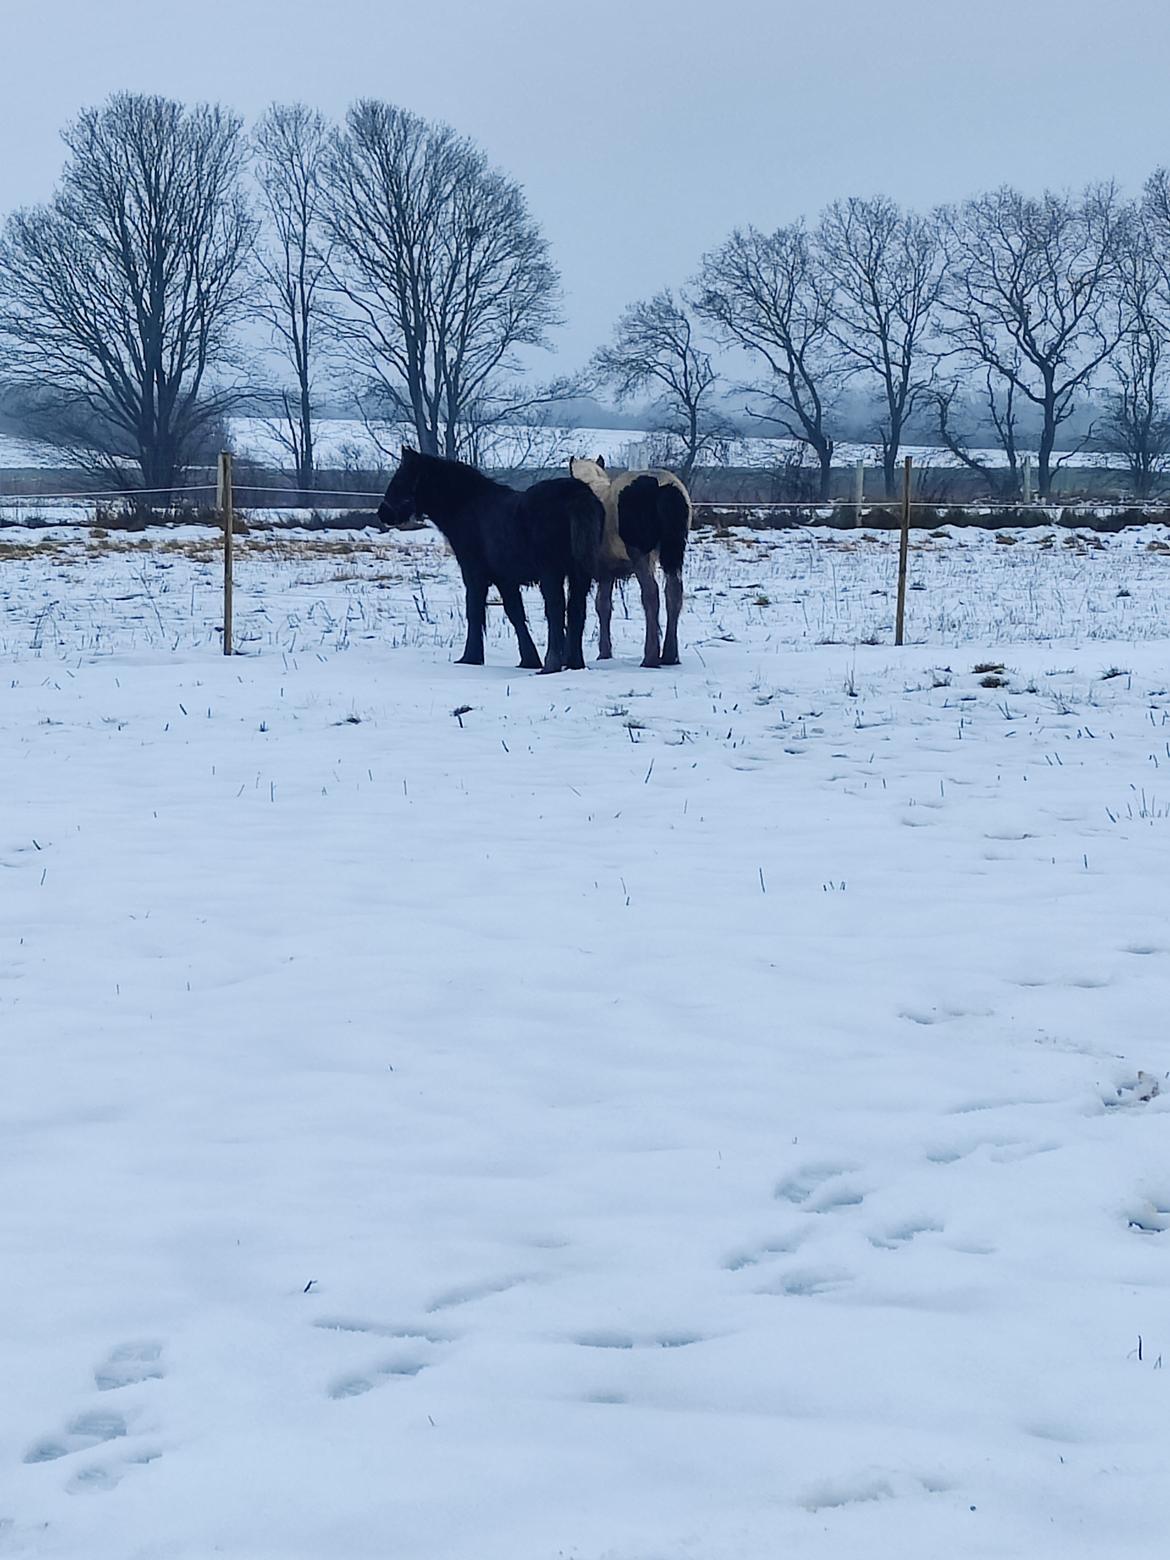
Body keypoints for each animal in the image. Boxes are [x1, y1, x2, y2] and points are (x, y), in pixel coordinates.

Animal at [380, 449, 605, 673]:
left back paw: (551, 665)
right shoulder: (506, 579)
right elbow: (515, 613)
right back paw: (575, 663)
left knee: (556, 610)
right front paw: (528, 659)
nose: (383, 513)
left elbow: (475, 611)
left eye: (401, 478)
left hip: (552, 573)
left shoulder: (475, 574)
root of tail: (577, 494)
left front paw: (470, 657)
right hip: (579, 574)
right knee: (576, 610)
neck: (467, 506)